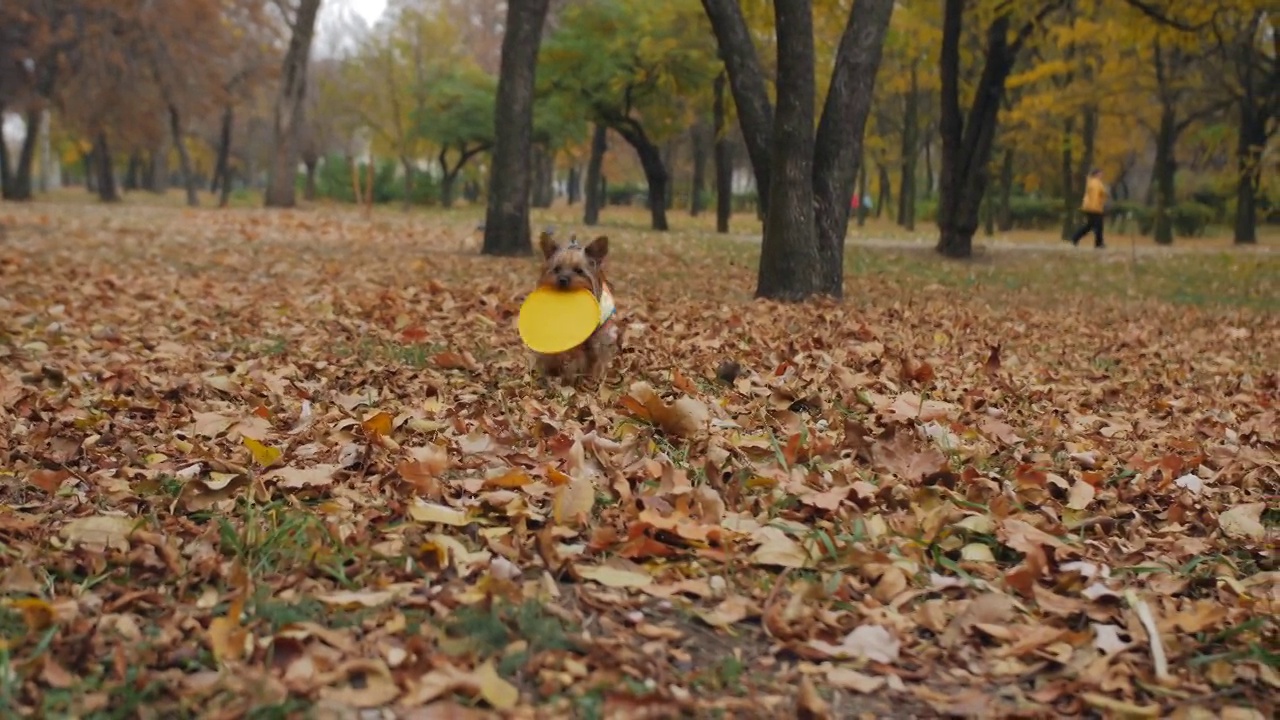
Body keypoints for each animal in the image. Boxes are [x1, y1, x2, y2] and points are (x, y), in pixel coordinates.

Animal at [529, 233, 619, 384]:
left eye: (579, 271)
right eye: (556, 269)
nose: (562, 279)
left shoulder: (598, 336)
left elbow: (591, 356)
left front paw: (586, 376)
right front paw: (555, 373)